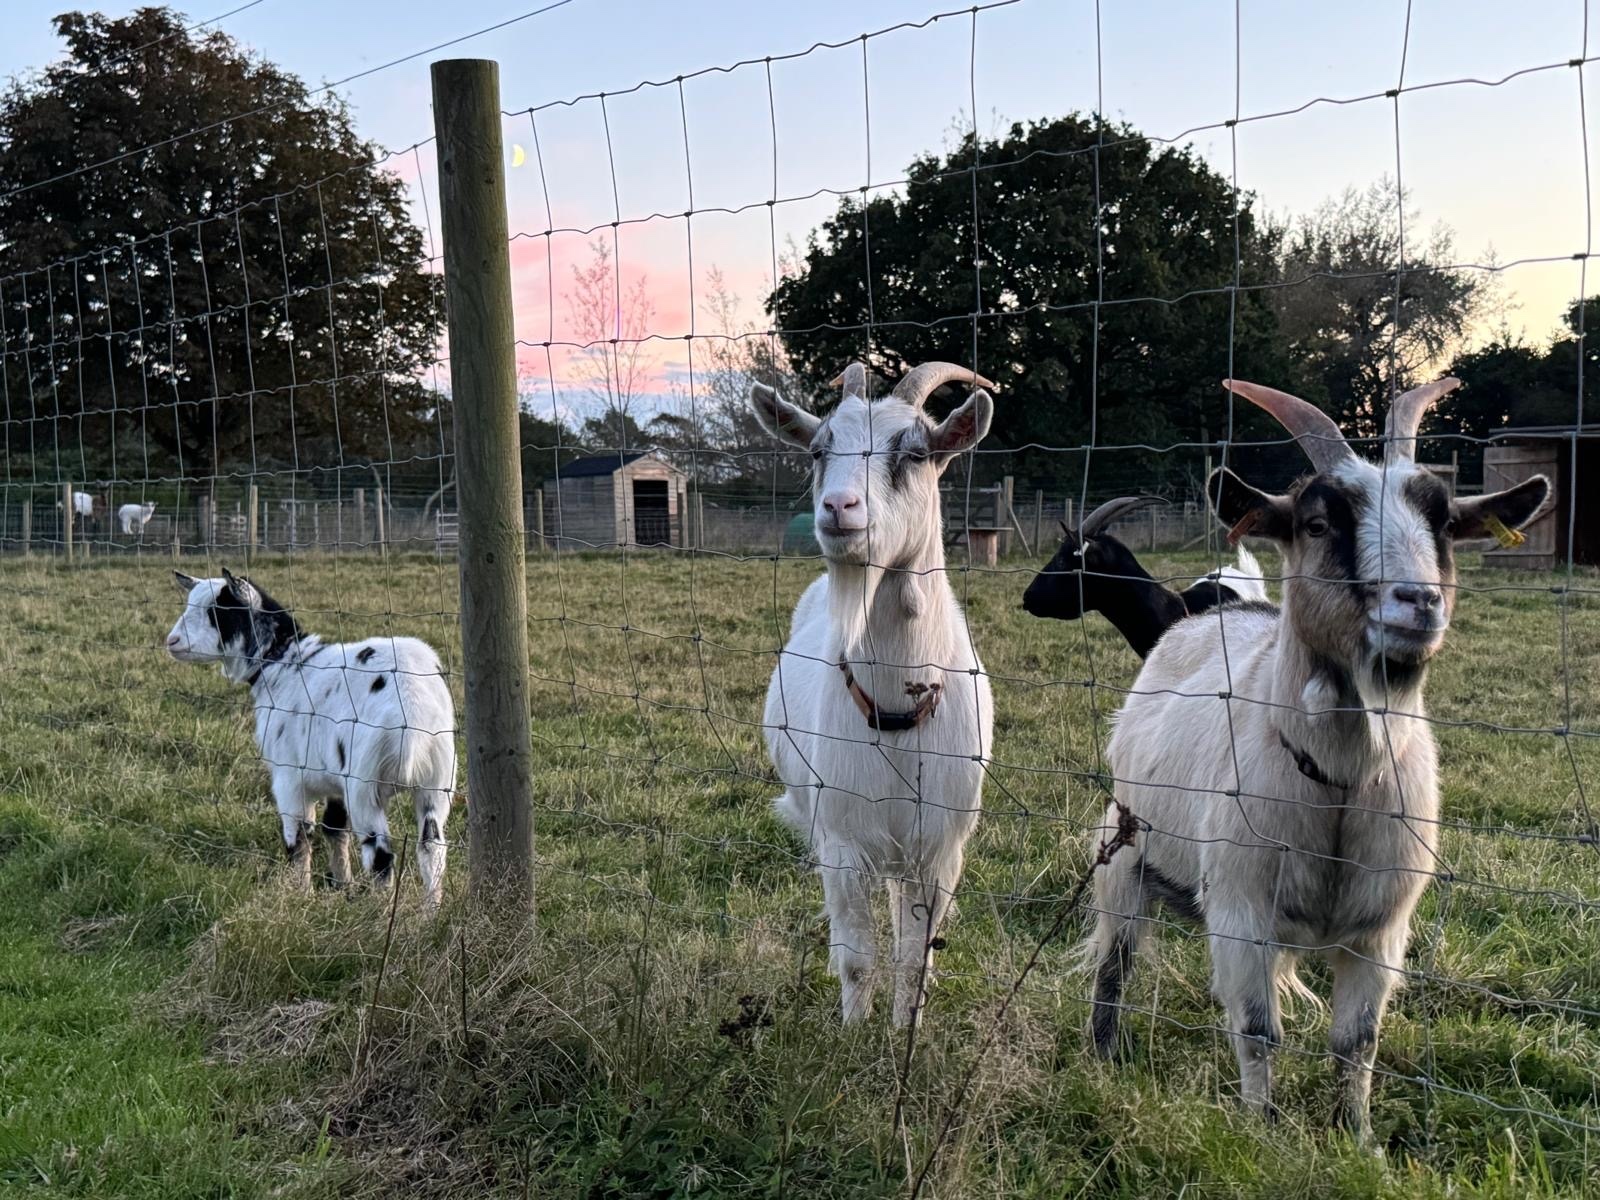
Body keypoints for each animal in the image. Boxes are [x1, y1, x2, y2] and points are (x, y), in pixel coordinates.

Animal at [167, 569, 457, 906]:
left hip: (365, 785)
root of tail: (412, 703)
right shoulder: (334, 780)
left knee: (380, 855)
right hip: (437, 782)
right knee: (432, 848)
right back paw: (429, 912)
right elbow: (335, 828)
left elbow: (299, 837)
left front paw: (301, 894)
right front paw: (342, 885)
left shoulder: (289, 777)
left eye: (218, 612)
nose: (172, 641)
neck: (282, 664)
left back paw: (378, 912)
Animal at [753, 361, 996, 1027]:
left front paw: (904, 1028)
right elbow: (858, 957)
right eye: (818, 450)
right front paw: (854, 1033)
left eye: (913, 452)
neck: (895, 709)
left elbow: (915, 957)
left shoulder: (939, 851)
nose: (839, 506)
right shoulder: (841, 842)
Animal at [1086, 377, 1551, 1138]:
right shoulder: (1241, 913)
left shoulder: (1381, 933)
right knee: (1114, 958)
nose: (1417, 602)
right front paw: (1261, 1129)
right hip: (1122, 848)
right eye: (1317, 522)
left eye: (1444, 524)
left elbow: (1355, 1041)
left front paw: (1355, 1137)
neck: (1338, 783)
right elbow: (1256, 1028)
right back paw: (1103, 1053)